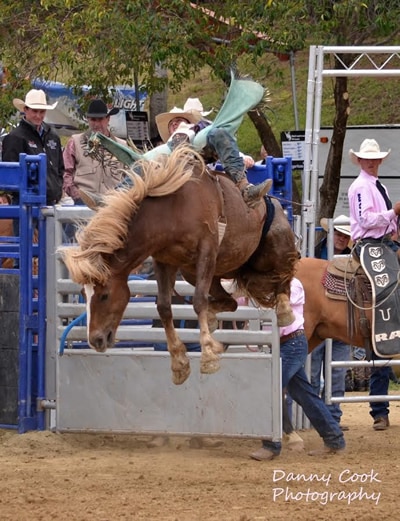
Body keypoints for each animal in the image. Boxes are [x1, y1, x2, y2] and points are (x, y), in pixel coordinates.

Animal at [58, 144, 296, 384]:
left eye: (104, 295)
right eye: (83, 293)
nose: (95, 340)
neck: (172, 210)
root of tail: (274, 201)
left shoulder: (207, 251)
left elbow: (198, 301)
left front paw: (208, 356)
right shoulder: (164, 261)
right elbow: (164, 307)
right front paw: (179, 364)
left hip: (275, 248)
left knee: (284, 279)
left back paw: (284, 310)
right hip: (201, 272)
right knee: (230, 301)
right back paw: (213, 321)